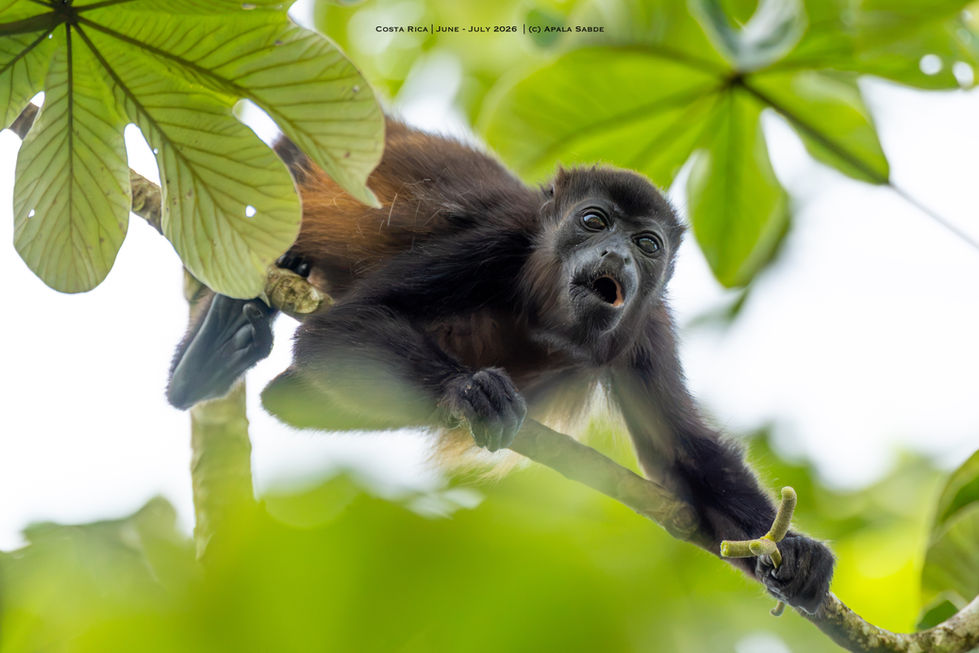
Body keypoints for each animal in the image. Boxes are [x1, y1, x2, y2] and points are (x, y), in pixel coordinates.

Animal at [166, 118, 834, 613]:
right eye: (594, 221)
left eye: (648, 244)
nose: (618, 254)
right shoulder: (498, 241)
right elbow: (342, 326)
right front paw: (469, 391)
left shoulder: (648, 327)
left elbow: (684, 454)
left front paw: (796, 551)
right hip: (276, 173)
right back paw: (203, 358)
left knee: (290, 396)